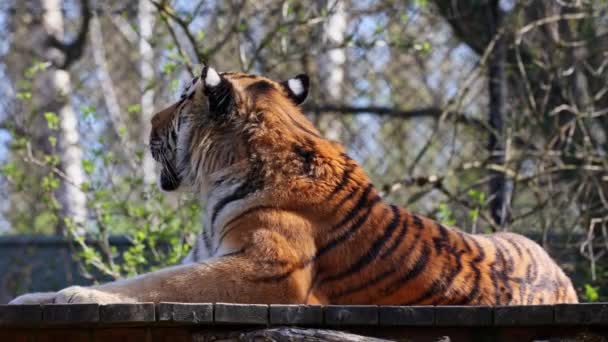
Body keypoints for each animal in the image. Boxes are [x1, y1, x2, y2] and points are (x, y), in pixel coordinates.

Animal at [11, 66, 576, 304]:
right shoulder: (211, 254)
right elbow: (144, 277)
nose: (149, 121)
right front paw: (38, 296)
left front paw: (75, 295)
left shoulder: (272, 268)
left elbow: (156, 285)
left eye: (181, 99)